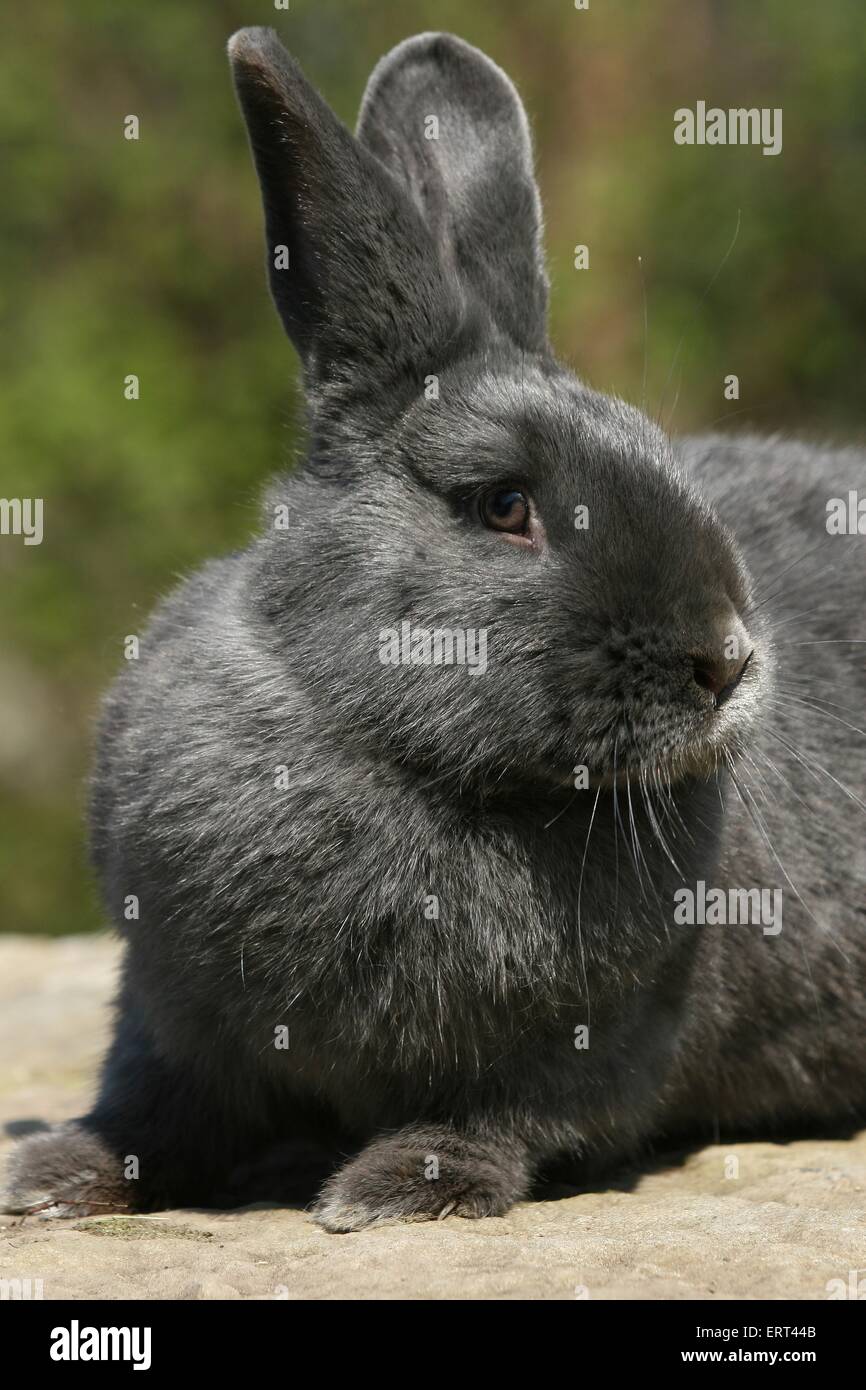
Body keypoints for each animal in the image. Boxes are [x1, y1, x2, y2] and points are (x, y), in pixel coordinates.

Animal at [3, 27, 861, 1234]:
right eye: (503, 504)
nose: (727, 658)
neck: (405, 764)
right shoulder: (166, 1012)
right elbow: (150, 1112)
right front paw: (50, 1177)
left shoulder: (593, 1047)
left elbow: (506, 1119)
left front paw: (394, 1188)